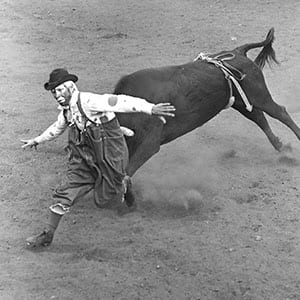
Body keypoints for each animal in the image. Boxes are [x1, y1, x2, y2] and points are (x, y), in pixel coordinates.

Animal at [115, 27, 300, 206]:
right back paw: (280, 146)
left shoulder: (150, 144)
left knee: (280, 112)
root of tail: (237, 51)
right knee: (260, 118)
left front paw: (129, 197)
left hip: (259, 95)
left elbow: (127, 171)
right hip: (242, 102)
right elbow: (125, 171)